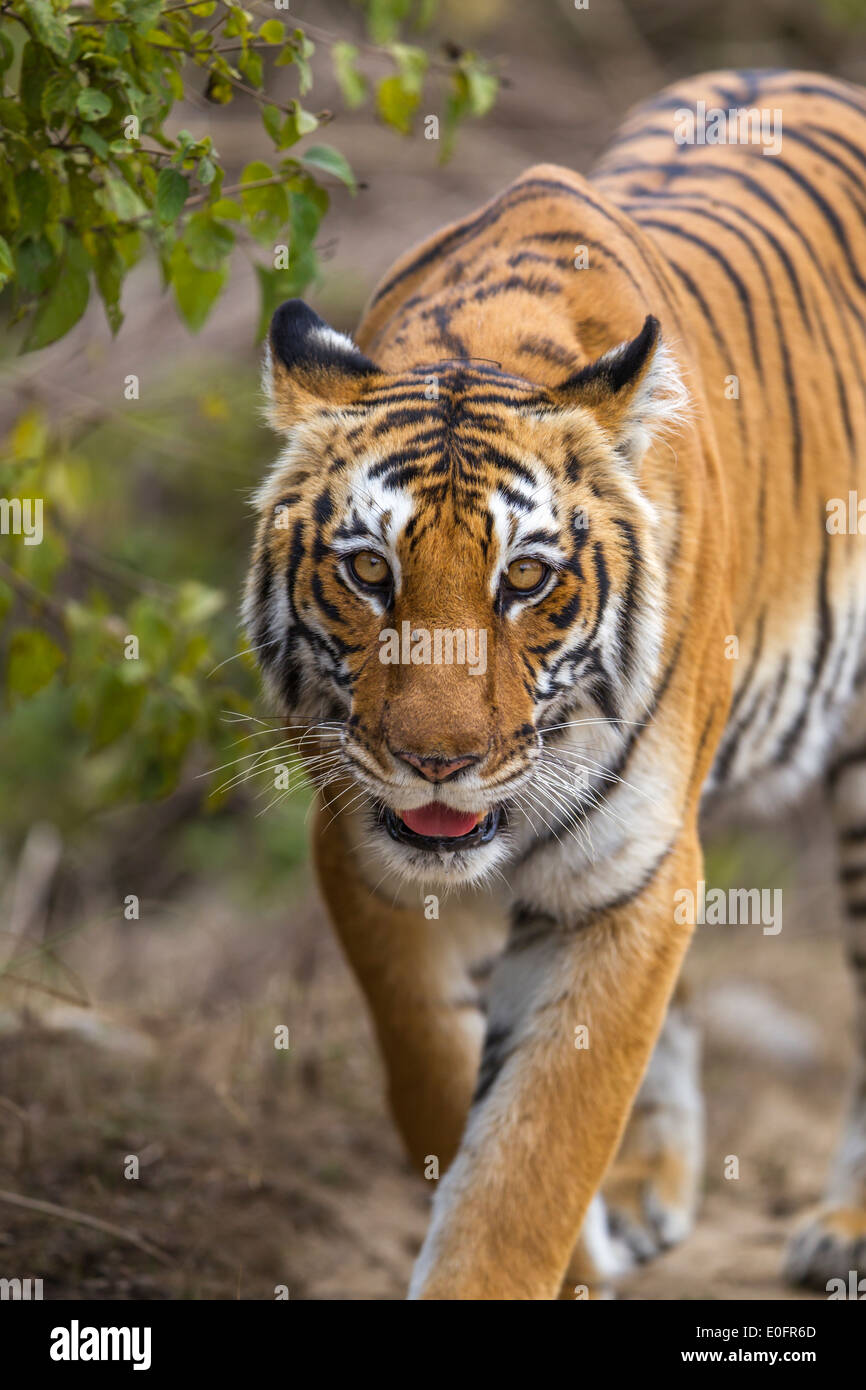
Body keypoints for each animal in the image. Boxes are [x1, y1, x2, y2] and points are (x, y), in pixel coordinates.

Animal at [240, 70, 866, 1295]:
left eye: (524, 578)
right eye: (369, 572)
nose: (437, 762)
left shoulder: (628, 874)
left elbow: (534, 1154)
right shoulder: (367, 853)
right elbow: (442, 1090)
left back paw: (845, 1225)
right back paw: (642, 1194)